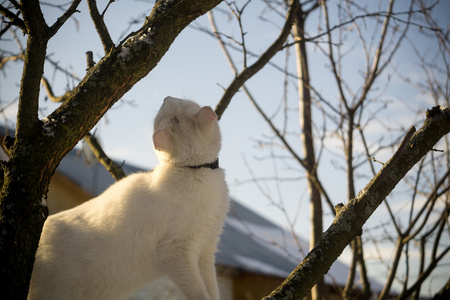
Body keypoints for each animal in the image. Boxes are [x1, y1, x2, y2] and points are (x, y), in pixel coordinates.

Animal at [29, 97, 229, 298]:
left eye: (179, 102)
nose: (166, 98)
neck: (194, 170)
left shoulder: (206, 250)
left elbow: (212, 289)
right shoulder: (175, 251)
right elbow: (199, 292)